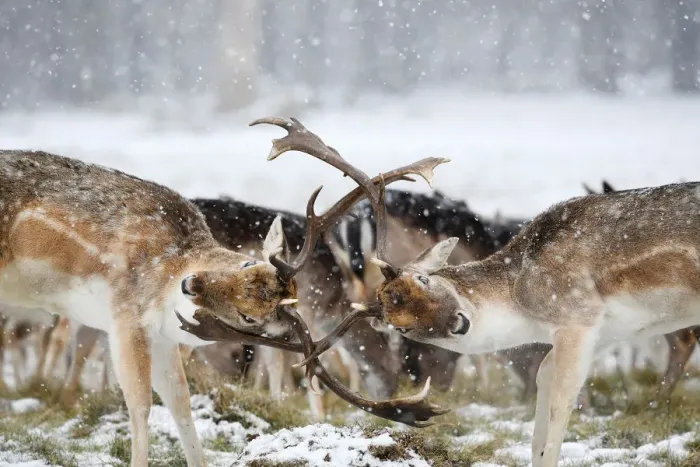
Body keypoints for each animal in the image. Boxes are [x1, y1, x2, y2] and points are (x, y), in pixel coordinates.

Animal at [290, 168, 700, 466]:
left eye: (423, 279)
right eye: (400, 325)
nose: (459, 322)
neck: (524, 305)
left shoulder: (578, 315)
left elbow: (560, 403)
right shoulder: (601, 331)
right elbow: (542, 390)